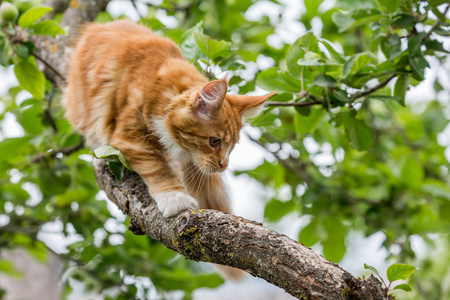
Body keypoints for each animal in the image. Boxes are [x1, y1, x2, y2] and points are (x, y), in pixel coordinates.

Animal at [65, 19, 272, 224]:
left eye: (233, 146)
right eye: (214, 141)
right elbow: (157, 167)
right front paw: (174, 197)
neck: (162, 89)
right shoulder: (130, 135)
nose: (224, 165)